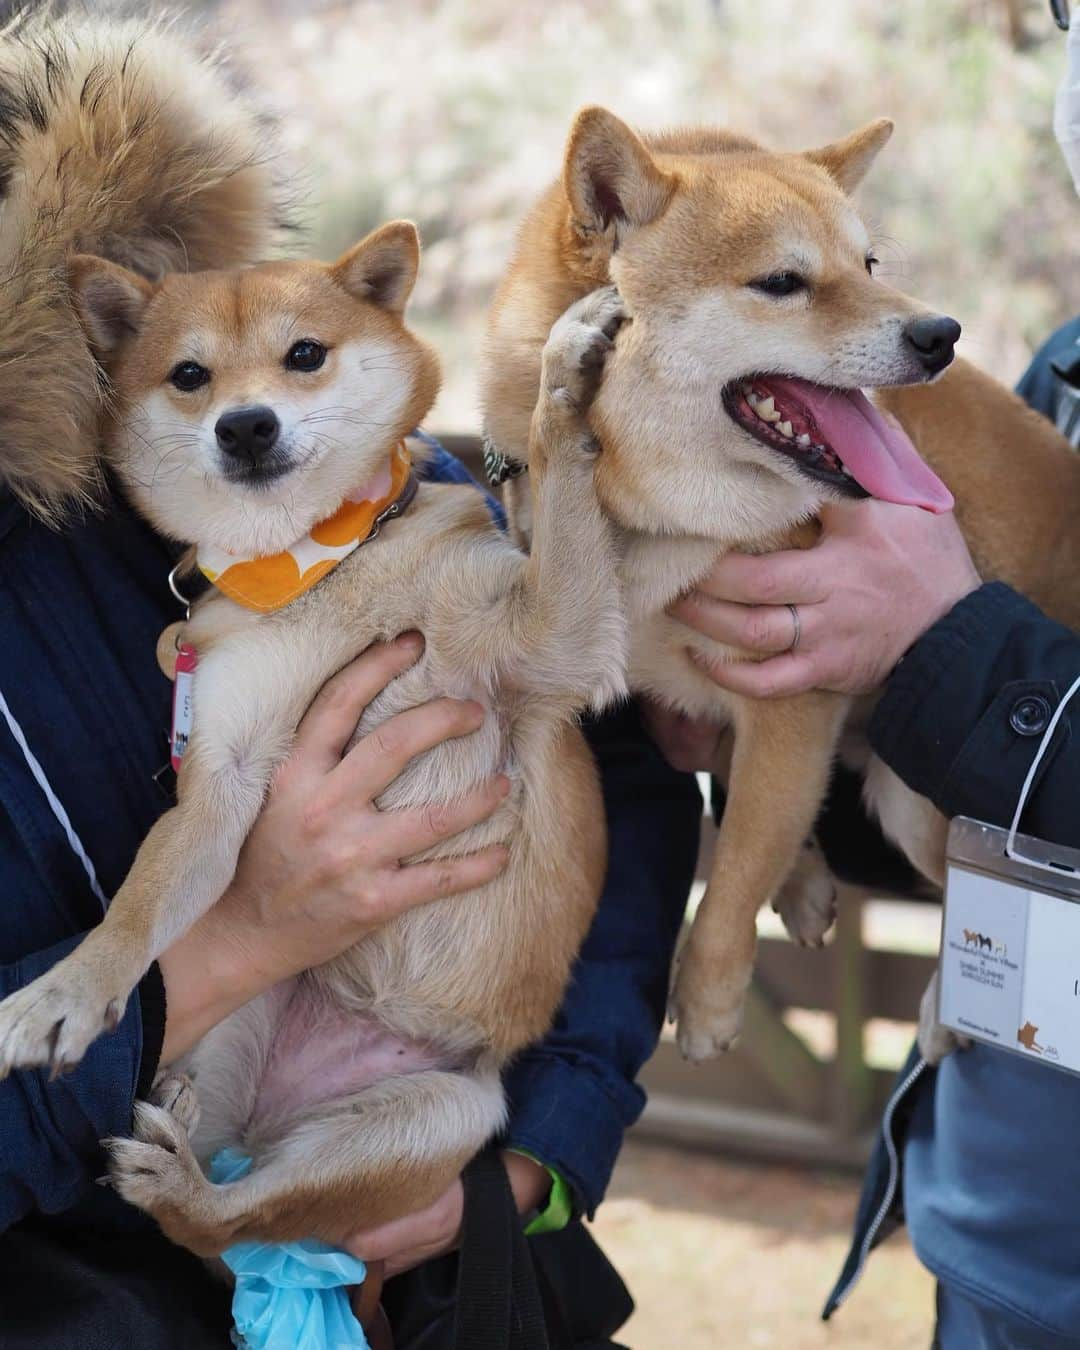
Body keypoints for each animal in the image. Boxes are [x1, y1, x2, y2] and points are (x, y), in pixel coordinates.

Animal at [486, 108, 1080, 1063]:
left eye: (867, 265)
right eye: (781, 282)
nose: (941, 334)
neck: (658, 529)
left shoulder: (796, 707)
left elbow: (734, 874)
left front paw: (709, 1001)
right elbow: (748, 815)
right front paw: (801, 878)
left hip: (915, 806)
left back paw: (941, 1016)